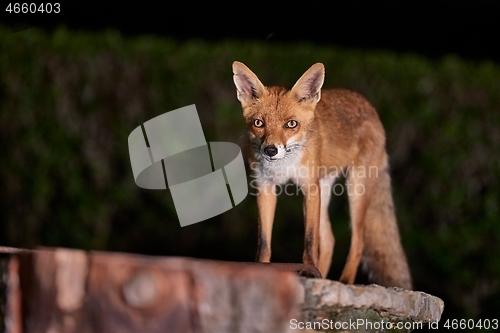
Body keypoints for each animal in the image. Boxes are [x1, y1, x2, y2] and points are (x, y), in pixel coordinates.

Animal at [232, 60, 412, 288]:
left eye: (291, 124)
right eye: (258, 123)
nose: (270, 150)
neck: (284, 166)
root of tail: (370, 107)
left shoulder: (310, 188)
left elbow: (310, 241)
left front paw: (309, 272)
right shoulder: (265, 187)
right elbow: (264, 243)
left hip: (355, 188)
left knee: (358, 241)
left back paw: (344, 281)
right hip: (325, 189)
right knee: (330, 241)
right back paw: (324, 277)